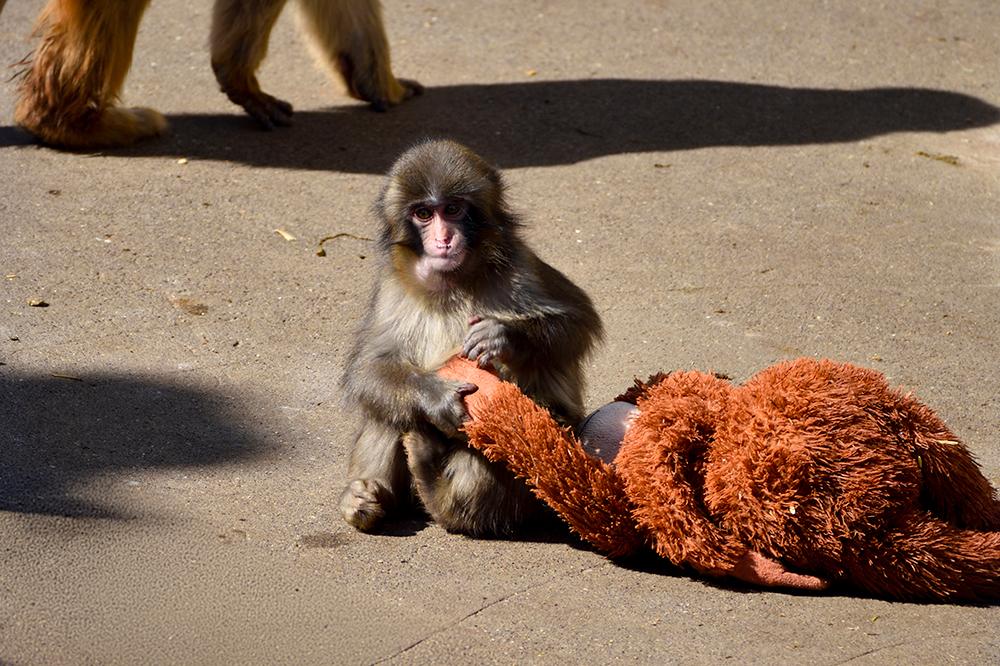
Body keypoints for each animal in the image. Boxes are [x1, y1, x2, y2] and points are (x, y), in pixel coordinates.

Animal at [339, 139, 603, 537]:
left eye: (452, 209)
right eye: (423, 214)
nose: (444, 239)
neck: (453, 281)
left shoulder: (521, 266)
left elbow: (578, 321)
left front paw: (503, 336)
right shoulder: (390, 286)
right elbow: (369, 368)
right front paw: (435, 396)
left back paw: (441, 497)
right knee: (390, 409)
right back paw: (367, 500)